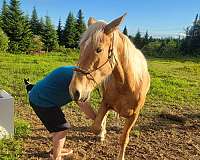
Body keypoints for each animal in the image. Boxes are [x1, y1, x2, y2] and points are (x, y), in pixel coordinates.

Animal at [70, 14, 150, 160]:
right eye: (81, 47)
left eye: (99, 49)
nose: (75, 91)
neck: (126, 85)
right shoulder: (105, 103)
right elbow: (96, 125)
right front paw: (101, 132)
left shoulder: (134, 116)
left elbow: (124, 139)